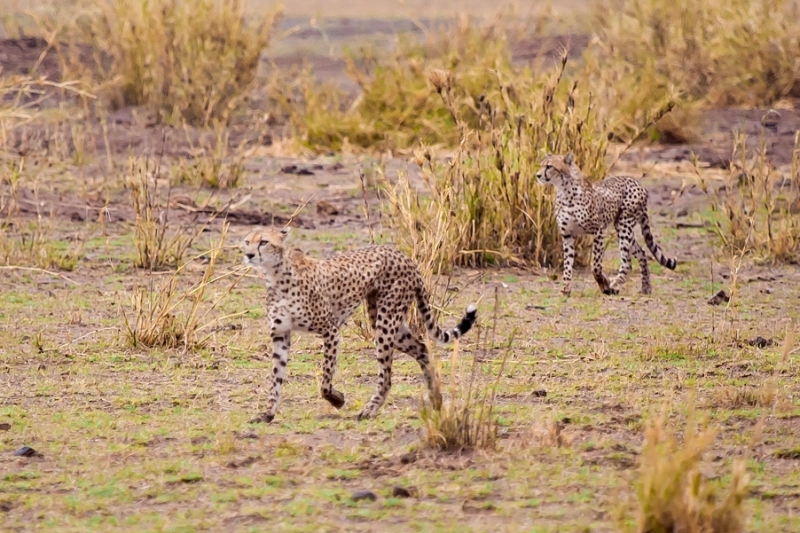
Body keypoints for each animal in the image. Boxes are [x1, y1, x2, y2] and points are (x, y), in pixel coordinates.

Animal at [241, 227, 478, 422]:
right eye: (246, 241)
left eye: (263, 242)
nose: (249, 254)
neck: (276, 275)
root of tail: (403, 255)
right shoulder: (280, 334)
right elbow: (276, 377)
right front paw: (268, 413)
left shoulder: (331, 331)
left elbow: (325, 380)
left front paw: (337, 399)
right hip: (383, 319)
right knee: (421, 348)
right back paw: (436, 399)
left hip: (386, 322)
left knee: (387, 376)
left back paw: (370, 409)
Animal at [536, 152, 680, 296]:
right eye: (541, 165)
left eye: (549, 166)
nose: (537, 175)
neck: (565, 190)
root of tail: (635, 182)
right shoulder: (567, 235)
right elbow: (567, 265)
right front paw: (566, 289)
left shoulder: (598, 231)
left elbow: (596, 265)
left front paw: (604, 284)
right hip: (623, 228)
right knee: (642, 253)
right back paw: (646, 287)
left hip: (624, 225)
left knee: (627, 262)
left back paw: (615, 284)